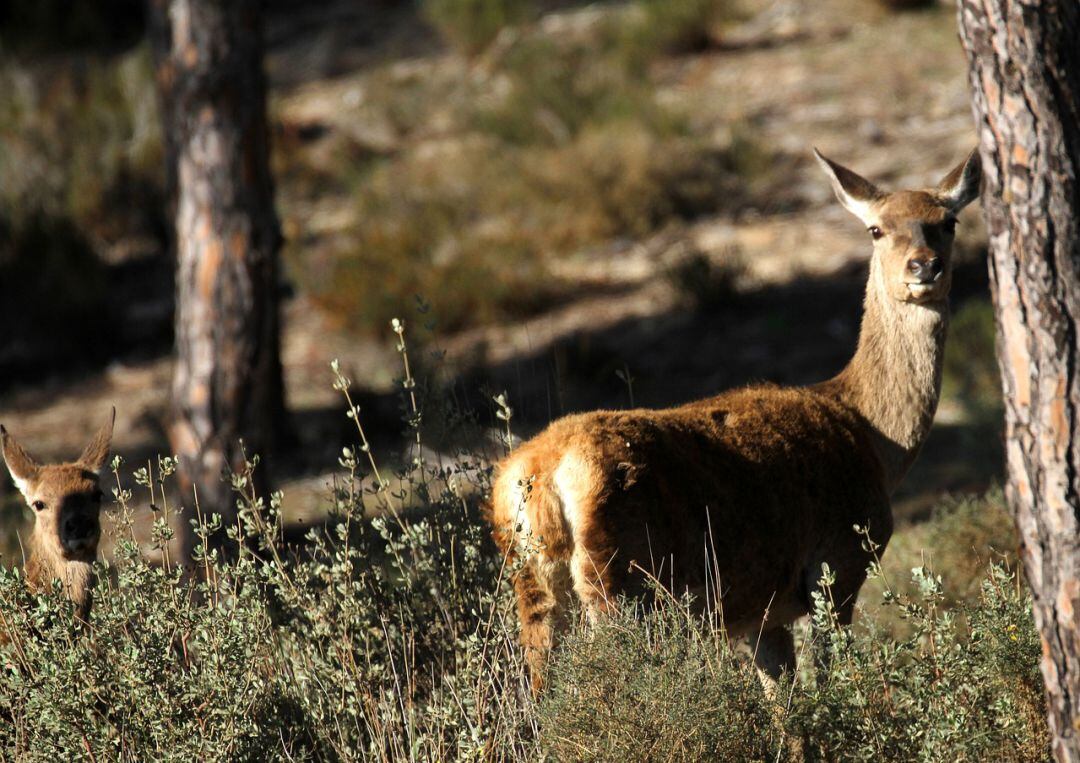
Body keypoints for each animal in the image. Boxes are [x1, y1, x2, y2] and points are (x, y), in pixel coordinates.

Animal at [494, 146, 984, 683]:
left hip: (534, 583)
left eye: (949, 221)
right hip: (623, 580)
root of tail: (542, 473)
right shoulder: (839, 564)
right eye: (876, 228)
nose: (924, 267)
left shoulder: (760, 613)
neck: (870, 434)